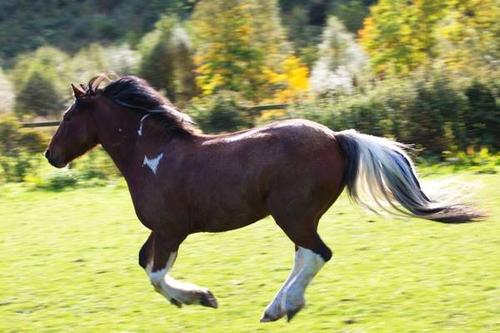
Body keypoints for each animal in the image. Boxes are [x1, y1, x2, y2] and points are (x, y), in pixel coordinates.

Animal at [46, 76, 480, 322]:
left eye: (67, 118)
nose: (51, 155)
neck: (153, 156)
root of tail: (337, 137)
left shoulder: (171, 230)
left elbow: (155, 272)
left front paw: (202, 298)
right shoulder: (161, 230)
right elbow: (145, 265)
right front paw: (187, 299)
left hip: (292, 214)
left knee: (316, 253)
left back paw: (282, 308)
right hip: (298, 216)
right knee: (307, 255)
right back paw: (279, 307)